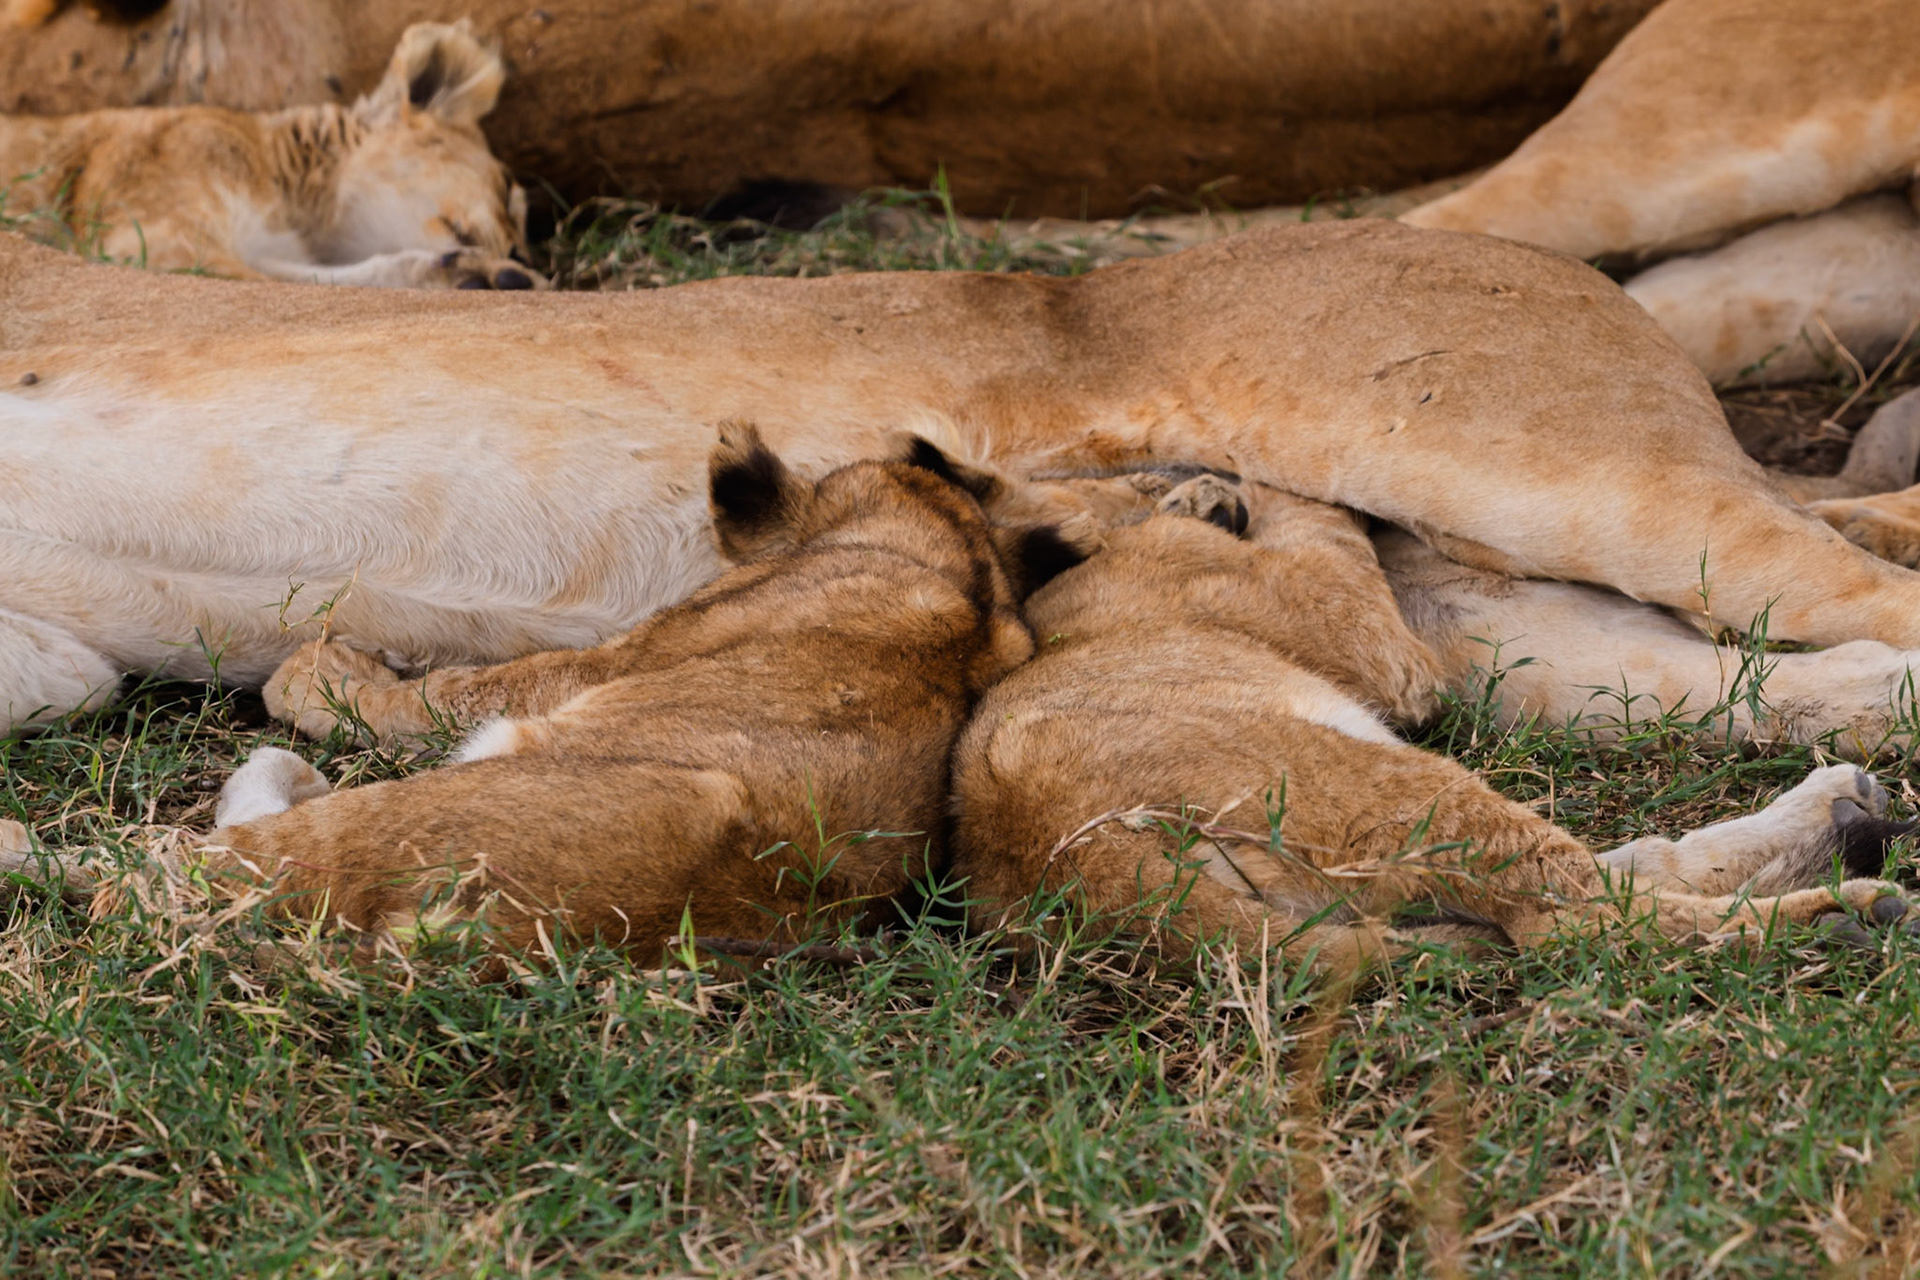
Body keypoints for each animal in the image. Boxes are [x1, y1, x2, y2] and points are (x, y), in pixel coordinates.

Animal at [0, 20, 540, 288]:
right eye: (506, 187)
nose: (521, 253)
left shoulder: (264, 248)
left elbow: (323, 280)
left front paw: (486, 276)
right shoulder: (146, 236)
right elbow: (271, 284)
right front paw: (497, 274)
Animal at [950, 473, 1919, 974]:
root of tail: (1068, 870)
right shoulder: (1373, 640)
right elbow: (1320, 516)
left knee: (1601, 880)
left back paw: (1844, 818)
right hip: (1381, 787)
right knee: (1571, 923)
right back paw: (1845, 911)